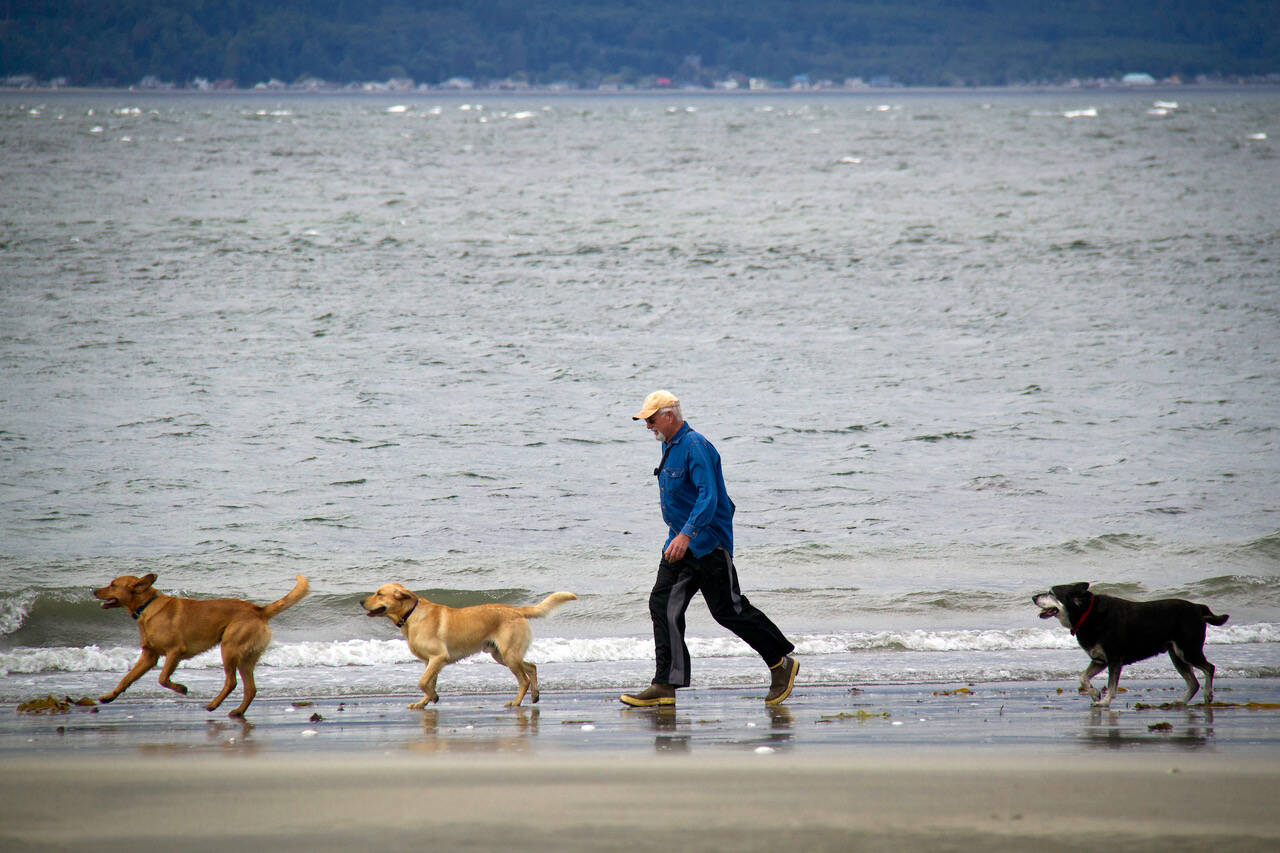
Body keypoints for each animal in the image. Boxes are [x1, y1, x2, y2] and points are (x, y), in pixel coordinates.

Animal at [93, 571, 309, 712]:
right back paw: (238, 712)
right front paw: (109, 696)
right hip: (246, 658)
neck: (147, 606)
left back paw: (213, 704)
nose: (94, 590)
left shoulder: (175, 651)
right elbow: (127, 678)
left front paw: (181, 688)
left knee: (231, 682)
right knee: (250, 689)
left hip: (228, 649)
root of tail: (259, 610)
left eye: (112, 584)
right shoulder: (149, 656)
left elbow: (162, 678)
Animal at [363, 581, 578, 706]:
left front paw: (432, 697)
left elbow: (422, 682)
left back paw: (516, 702)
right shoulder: (430, 661)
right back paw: (534, 695)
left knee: (523, 680)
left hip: (509, 655)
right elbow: (429, 681)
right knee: (532, 667)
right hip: (502, 655)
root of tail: (516, 610)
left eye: (379, 593)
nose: (360, 602)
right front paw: (426, 700)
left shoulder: (439, 657)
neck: (411, 614)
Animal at [1029, 578, 1228, 701]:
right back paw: (1179, 703)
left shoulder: (1114, 659)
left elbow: (1112, 686)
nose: (1033, 597)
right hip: (1176, 654)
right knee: (1193, 683)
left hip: (1188, 649)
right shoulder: (1100, 660)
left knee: (1209, 668)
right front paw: (1094, 693)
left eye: (1051, 593)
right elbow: (1082, 677)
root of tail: (1198, 607)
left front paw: (1104, 702)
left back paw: (1208, 694)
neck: (1087, 614)